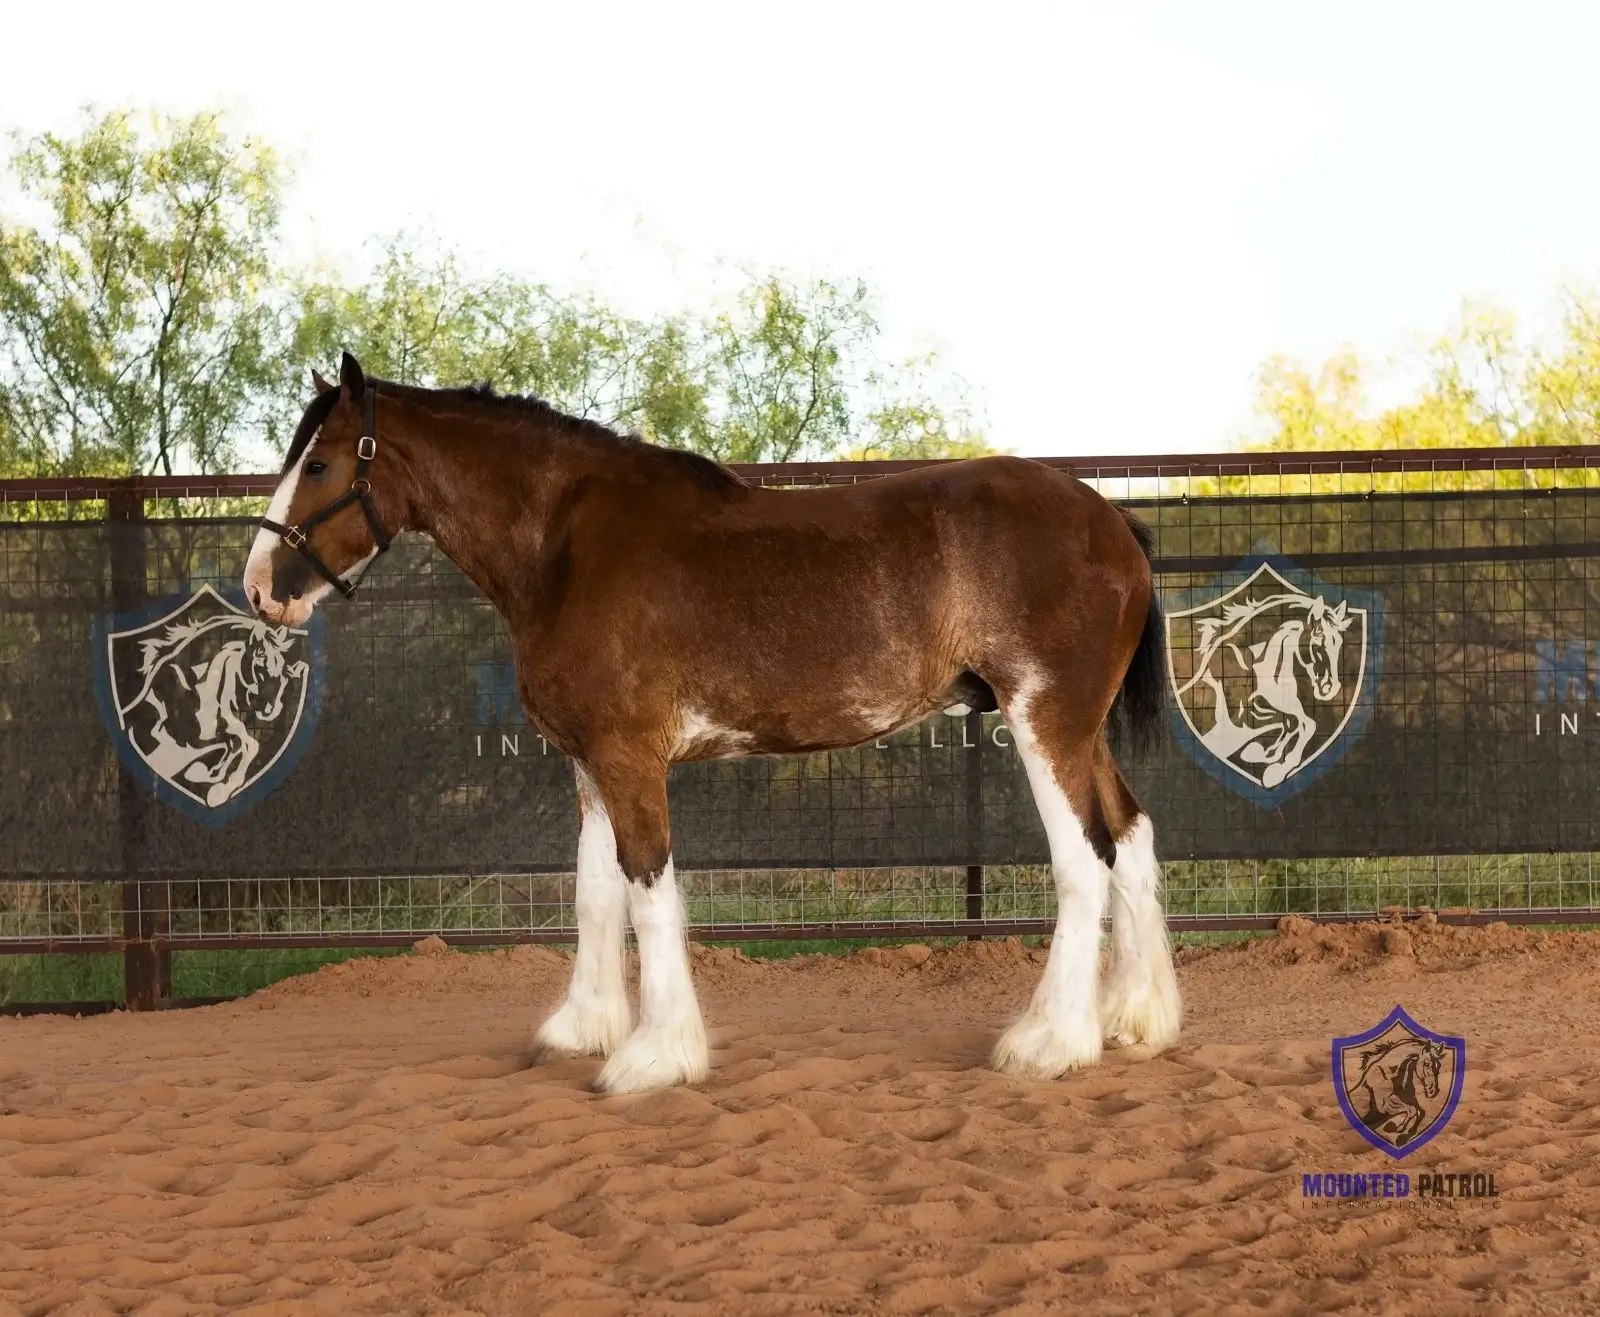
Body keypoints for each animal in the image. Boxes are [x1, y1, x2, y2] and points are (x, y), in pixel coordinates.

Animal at [244, 351, 1182, 1094]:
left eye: (319, 464)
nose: (259, 588)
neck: (563, 545)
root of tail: (1113, 521)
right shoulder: (589, 762)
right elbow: (595, 894)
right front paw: (582, 1028)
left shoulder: (630, 756)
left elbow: (648, 889)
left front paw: (654, 1056)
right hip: (1081, 731)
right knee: (1132, 836)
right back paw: (1136, 1019)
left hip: (1043, 722)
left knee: (1084, 861)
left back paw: (1050, 1041)